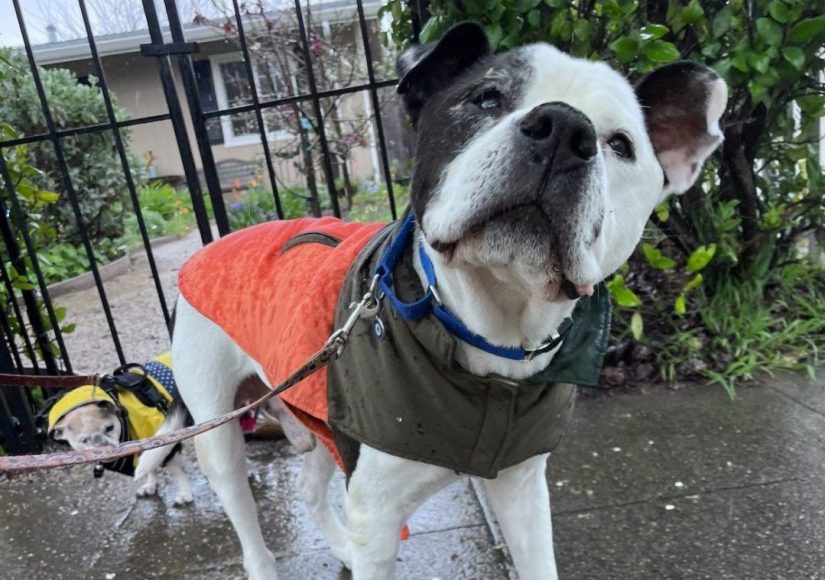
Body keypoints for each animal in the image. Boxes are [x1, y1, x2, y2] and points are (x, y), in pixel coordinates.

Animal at [153, 22, 727, 579]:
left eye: (622, 144)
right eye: (486, 98)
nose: (564, 129)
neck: (494, 333)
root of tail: (207, 248)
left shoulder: (521, 488)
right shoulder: (377, 518)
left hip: (319, 408)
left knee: (309, 489)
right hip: (218, 435)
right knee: (249, 528)